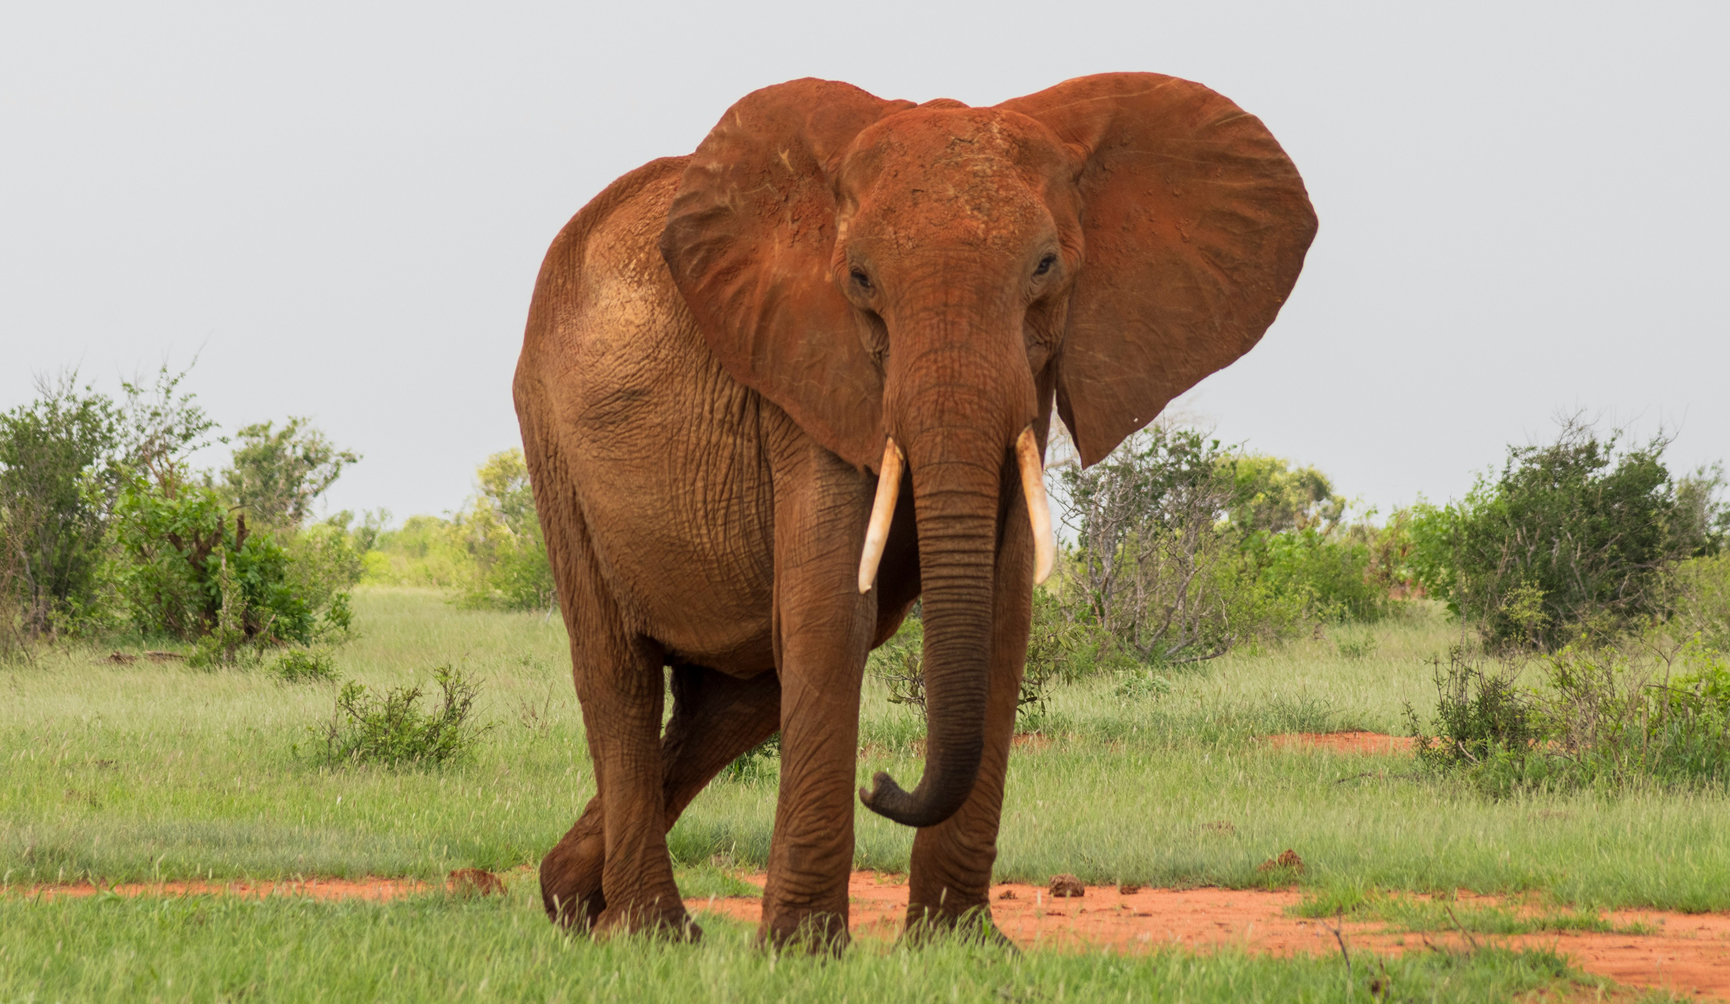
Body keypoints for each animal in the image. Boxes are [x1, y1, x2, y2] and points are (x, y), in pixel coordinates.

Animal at [513, 72, 1316, 947]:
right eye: (860, 280)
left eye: (1046, 266)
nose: (882, 783)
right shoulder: (805, 372)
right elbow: (834, 611)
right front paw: (802, 951)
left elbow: (1000, 612)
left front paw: (960, 946)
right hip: (552, 437)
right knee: (620, 675)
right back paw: (649, 932)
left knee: (736, 701)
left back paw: (571, 899)